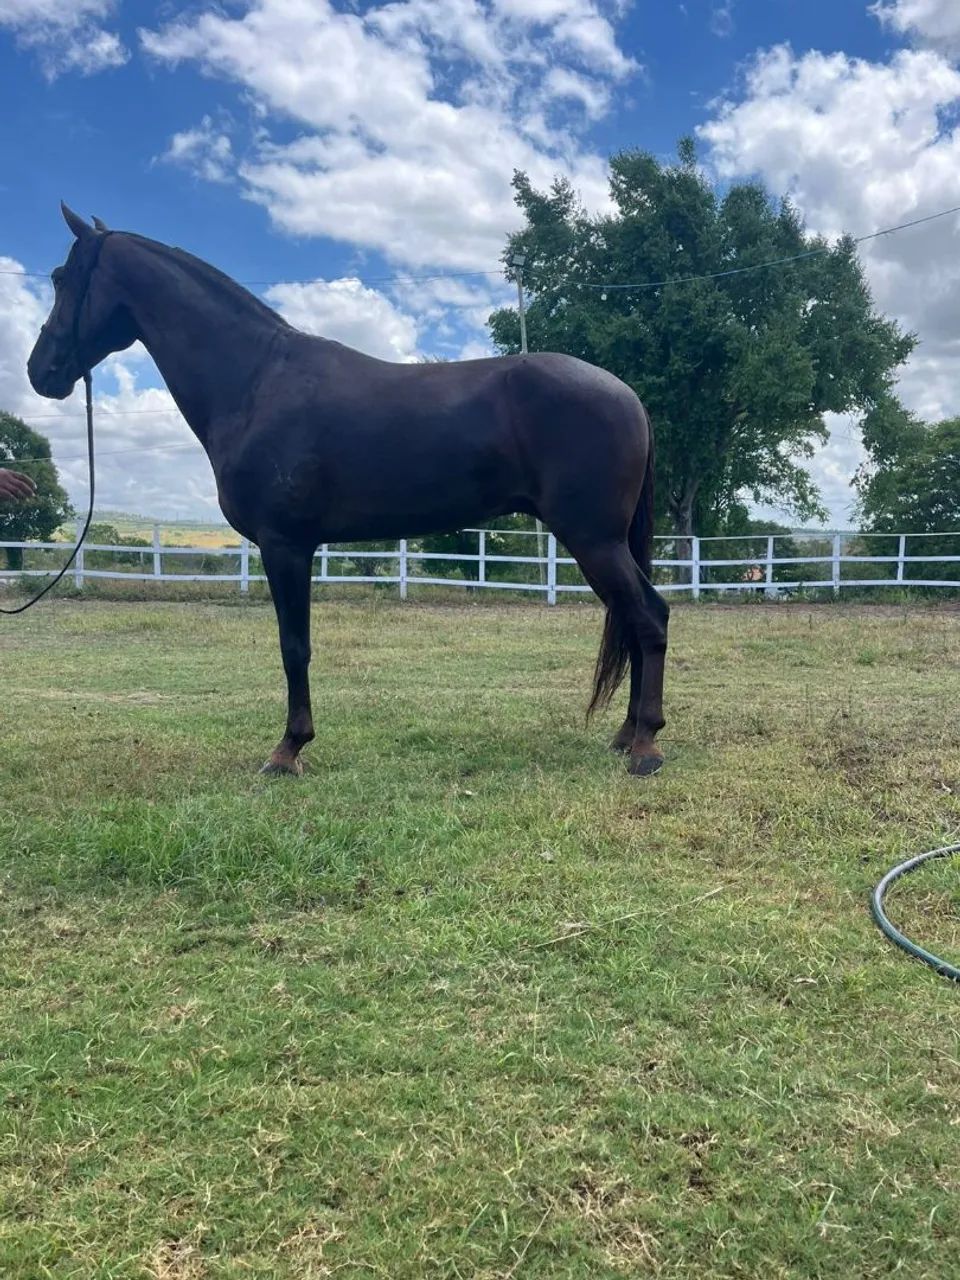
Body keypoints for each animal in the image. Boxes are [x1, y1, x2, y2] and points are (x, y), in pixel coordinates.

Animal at [27, 204, 669, 777]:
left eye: (60, 278)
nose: (39, 371)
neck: (255, 380)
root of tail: (626, 395)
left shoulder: (284, 545)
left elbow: (294, 647)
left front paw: (288, 750)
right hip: (600, 543)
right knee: (637, 619)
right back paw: (626, 735)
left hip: (593, 539)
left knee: (649, 618)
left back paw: (646, 747)